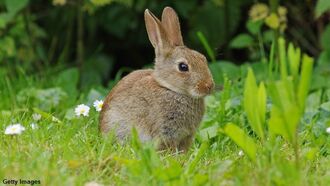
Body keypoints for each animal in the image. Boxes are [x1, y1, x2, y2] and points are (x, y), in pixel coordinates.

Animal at [99, 6, 215, 152]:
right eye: (183, 67)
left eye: (203, 58)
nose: (209, 86)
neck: (170, 89)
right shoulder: (165, 132)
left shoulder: (186, 136)